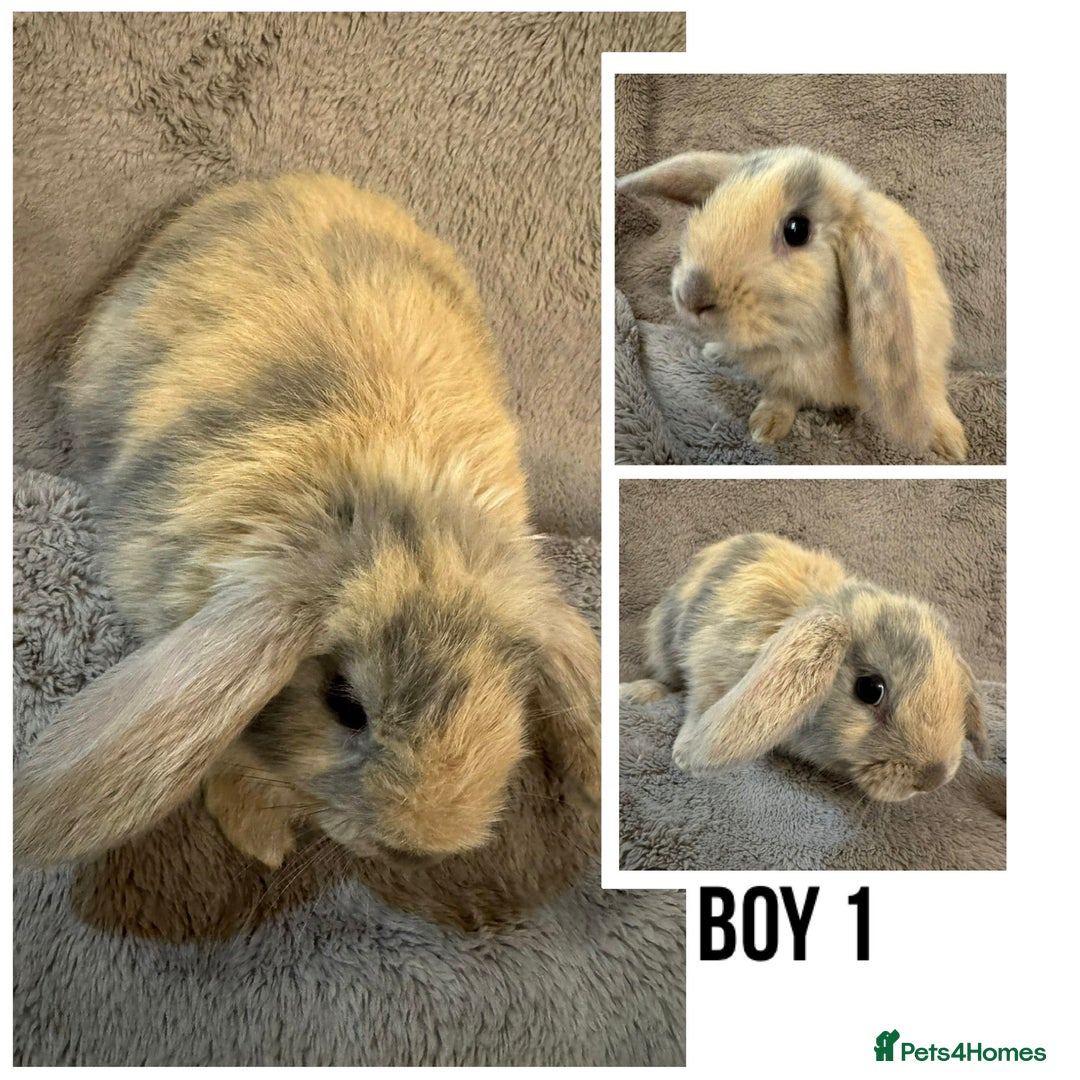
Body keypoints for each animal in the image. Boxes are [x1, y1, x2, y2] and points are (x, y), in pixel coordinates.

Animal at [14, 173, 599, 870]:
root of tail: (287, 183)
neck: (394, 495)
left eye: (512, 692)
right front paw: (257, 838)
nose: (418, 847)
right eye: (344, 705)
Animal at [616, 146, 969, 462]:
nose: (691, 296)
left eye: (797, 230)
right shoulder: (781, 376)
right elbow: (782, 396)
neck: (806, 338)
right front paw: (765, 427)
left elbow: (932, 396)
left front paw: (950, 444)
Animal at [621, 533, 988, 802]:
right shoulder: (708, 667)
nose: (933, 778)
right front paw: (684, 754)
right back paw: (638, 692)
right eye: (870, 690)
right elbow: (700, 703)